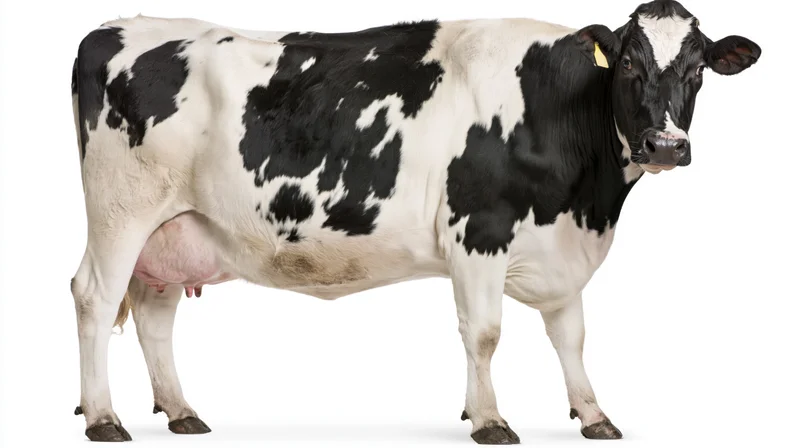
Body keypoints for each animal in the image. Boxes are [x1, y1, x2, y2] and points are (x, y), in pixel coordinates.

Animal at [68, 0, 760, 443]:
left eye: (698, 69)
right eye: (629, 65)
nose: (665, 145)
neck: (587, 200)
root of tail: (112, 27)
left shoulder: (560, 249)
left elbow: (572, 336)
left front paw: (594, 416)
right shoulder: (478, 231)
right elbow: (484, 333)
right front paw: (489, 420)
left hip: (173, 229)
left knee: (155, 312)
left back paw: (180, 411)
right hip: (119, 212)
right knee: (94, 298)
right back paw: (103, 418)